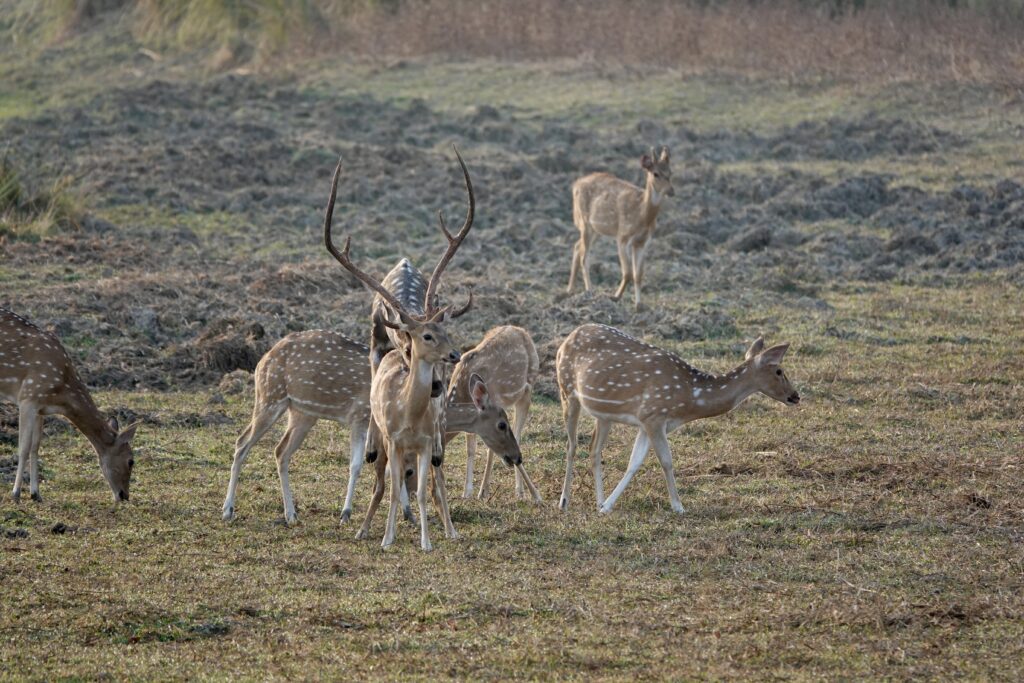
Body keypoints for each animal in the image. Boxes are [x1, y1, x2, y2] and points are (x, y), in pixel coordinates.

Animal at [0, 308, 139, 504]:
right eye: (131, 461)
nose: (124, 495)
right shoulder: (28, 396)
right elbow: (24, 448)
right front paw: (16, 494)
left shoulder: (41, 408)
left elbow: (35, 447)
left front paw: (36, 494)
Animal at [324, 146, 476, 550]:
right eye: (423, 337)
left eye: (445, 330)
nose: (454, 356)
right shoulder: (394, 439)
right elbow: (391, 485)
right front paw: (385, 536)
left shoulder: (424, 440)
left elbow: (425, 484)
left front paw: (430, 536)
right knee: (381, 474)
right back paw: (362, 521)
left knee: (429, 473)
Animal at [448, 325, 542, 502]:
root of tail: (520, 330)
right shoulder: (473, 420)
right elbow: (470, 449)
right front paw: (466, 492)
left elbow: (490, 450)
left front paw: (482, 492)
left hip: (527, 389)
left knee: (517, 435)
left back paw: (523, 491)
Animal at [555, 324, 799, 514]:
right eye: (779, 371)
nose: (795, 396)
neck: (689, 399)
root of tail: (567, 337)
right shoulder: (654, 416)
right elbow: (666, 461)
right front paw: (678, 506)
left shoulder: (646, 421)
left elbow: (634, 463)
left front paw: (606, 506)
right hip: (566, 390)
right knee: (571, 445)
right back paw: (563, 501)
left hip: (604, 414)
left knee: (594, 450)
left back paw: (597, 500)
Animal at [566, 147, 674, 309]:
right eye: (656, 173)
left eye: (670, 172)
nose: (671, 191)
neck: (642, 215)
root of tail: (575, 184)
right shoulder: (622, 236)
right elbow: (628, 272)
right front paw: (615, 297)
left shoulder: (642, 242)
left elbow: (638, 274)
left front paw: (639, 305)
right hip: (584, 222)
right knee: (585, 256)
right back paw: (589, 291)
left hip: (597, 229)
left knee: (577, 246)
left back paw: (570, 289)